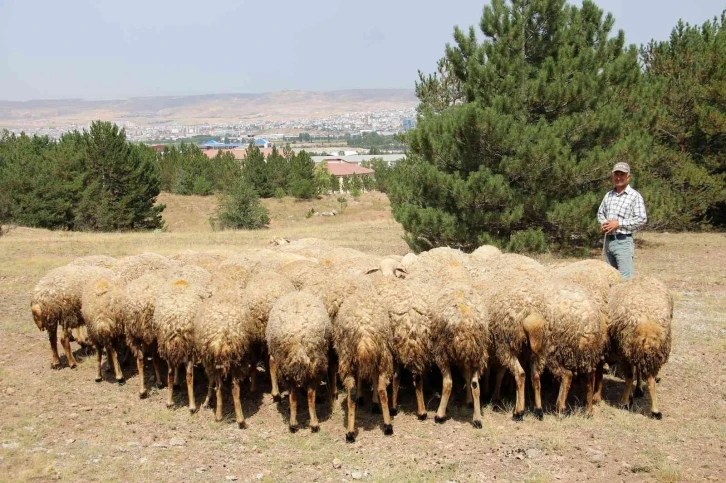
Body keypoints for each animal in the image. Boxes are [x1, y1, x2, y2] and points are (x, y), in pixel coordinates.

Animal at [152, 262, 212, 414]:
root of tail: (177, 322)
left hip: (168, 344)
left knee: (170, 371)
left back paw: (169, 401)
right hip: (189, 346)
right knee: (189, 374)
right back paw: (192, 405)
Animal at [268, 294, 332, 432]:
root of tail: (299, 341)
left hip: (289, 365)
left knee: (295, 394)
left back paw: (294, 422)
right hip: (314, 363)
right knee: (309, 393)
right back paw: (311, 423)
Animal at [334, 282, 396, 444]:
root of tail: (364, 337)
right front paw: (371, 401)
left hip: (350, 356)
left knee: (357, 391)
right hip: (381, 355)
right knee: (379, 389)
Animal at [432, 284, 490, 428]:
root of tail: (466, 322)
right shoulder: (466, 358)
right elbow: (467, 376)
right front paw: (468, 400)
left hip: (443, 353)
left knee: (448, 383)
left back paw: (439, 415)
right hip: (478, 355)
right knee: (475, 384)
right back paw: (477, 419)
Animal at [604, 276, 672, 420]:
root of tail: (647, 325)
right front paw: (637, 390)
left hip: (627, 351)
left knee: (631, 376)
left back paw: (625, 402)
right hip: (646, 352)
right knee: (650, 379)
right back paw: (654, 410)